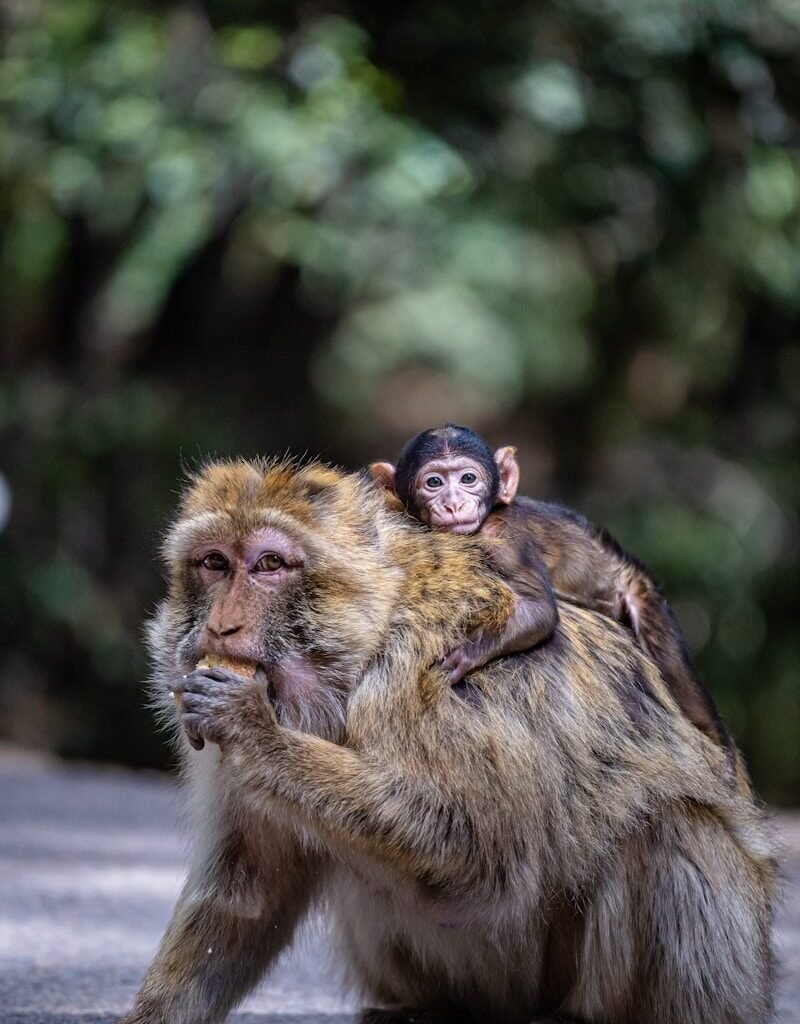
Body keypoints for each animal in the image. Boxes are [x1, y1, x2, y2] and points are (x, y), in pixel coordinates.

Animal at [371, 424, 736, 775]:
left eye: (468, 479)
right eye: (434, 482)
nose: (454, 503)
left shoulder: (505, 540)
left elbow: (540, 611)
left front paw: (465, 654)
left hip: (643, 598)